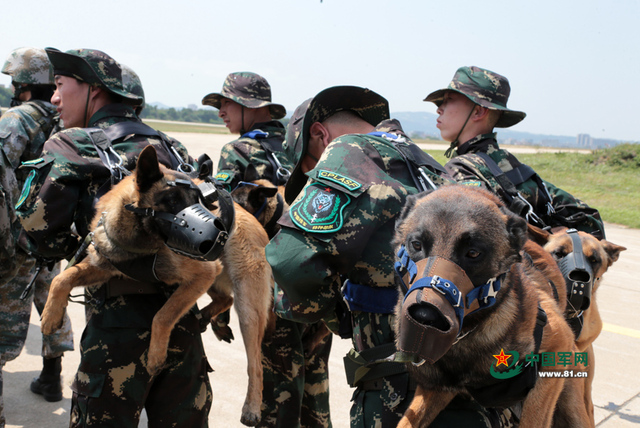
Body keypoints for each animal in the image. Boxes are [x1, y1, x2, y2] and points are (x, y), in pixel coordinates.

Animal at [40, 145, 270, 426]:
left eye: (199, 200)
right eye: (172, 200)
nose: (218, 233)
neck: (138, 242)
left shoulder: (201, 274)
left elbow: (162, 315)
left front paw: (156, 355)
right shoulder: (102, 267)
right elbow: (62, 278)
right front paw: (51, 315)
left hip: (246, 307)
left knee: (255, 363)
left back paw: (252, 407)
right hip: (216, 282)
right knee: (225, 299)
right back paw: (205, 316)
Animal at [392, 186, 592, 428]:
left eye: (473, 253)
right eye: (416, 245)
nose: (423, 316)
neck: (468, 334)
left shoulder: (556, 351)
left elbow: (532, 419)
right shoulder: (437, 390)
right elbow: (407, 421)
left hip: (573, 406)